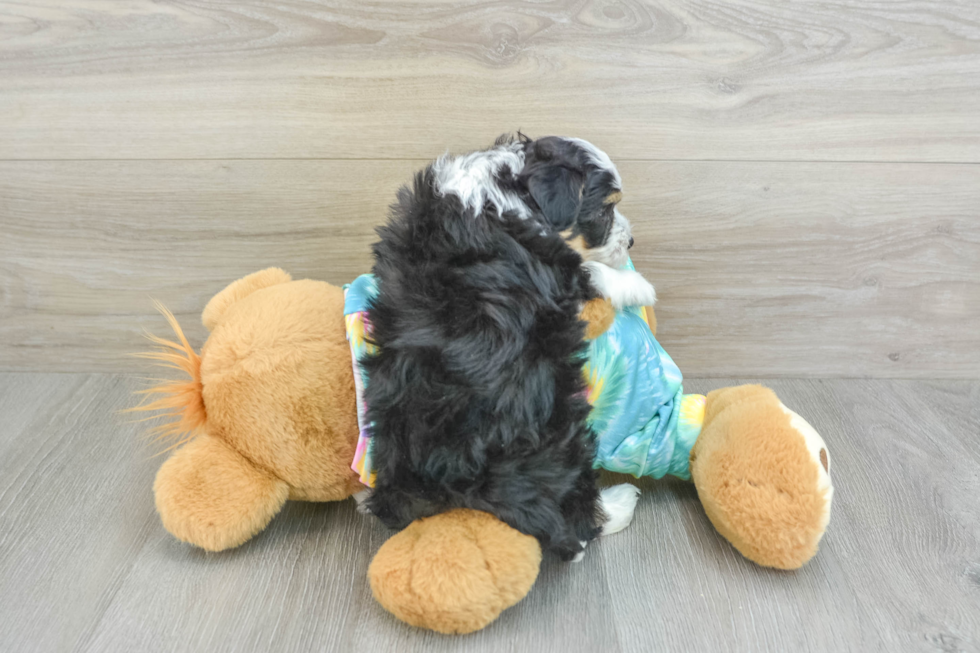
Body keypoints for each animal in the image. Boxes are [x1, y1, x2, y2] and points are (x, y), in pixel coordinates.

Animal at [360, 134, 652, 560]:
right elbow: (589, 271)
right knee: (577, 512)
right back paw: (618, 504)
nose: (630, 241)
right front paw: (639, 285)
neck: (508, 189)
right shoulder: (556, 269)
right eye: (604, 210)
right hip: (565, 428)